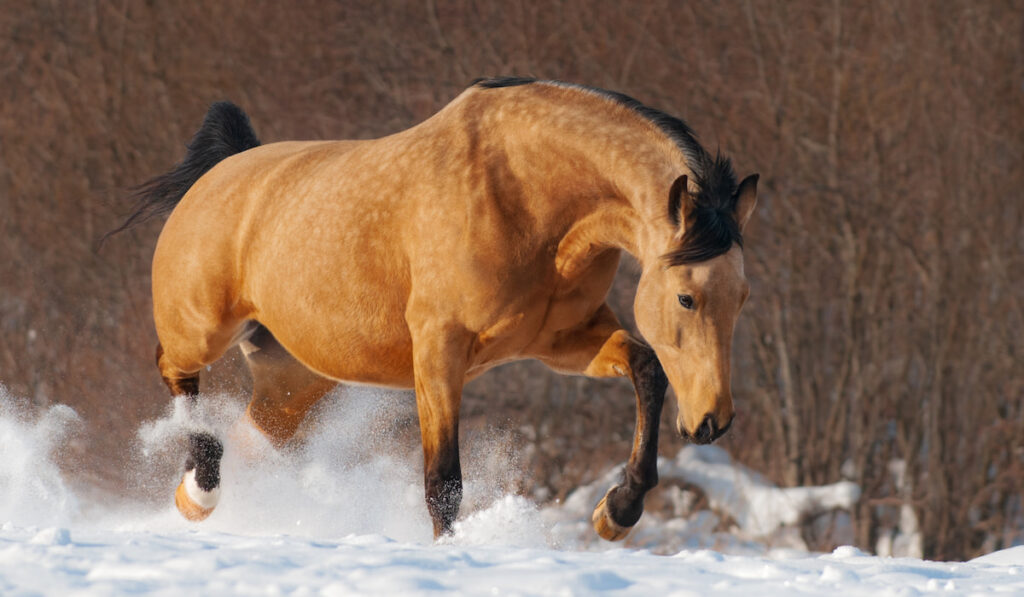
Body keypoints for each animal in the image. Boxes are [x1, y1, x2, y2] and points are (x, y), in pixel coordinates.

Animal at [112, 78, 757, 540]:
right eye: (686, 296)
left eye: (742, 297)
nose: (712, 422)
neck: (524, 193)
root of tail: (222, 171)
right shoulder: (440, 353)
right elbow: (443, 482)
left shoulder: (563, 342)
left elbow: (647, 369)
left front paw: (616, 512)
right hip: (203, 328)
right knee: (174, 370)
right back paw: (199, 489)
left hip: (293, 380)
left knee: (252, 436)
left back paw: (204, 506)